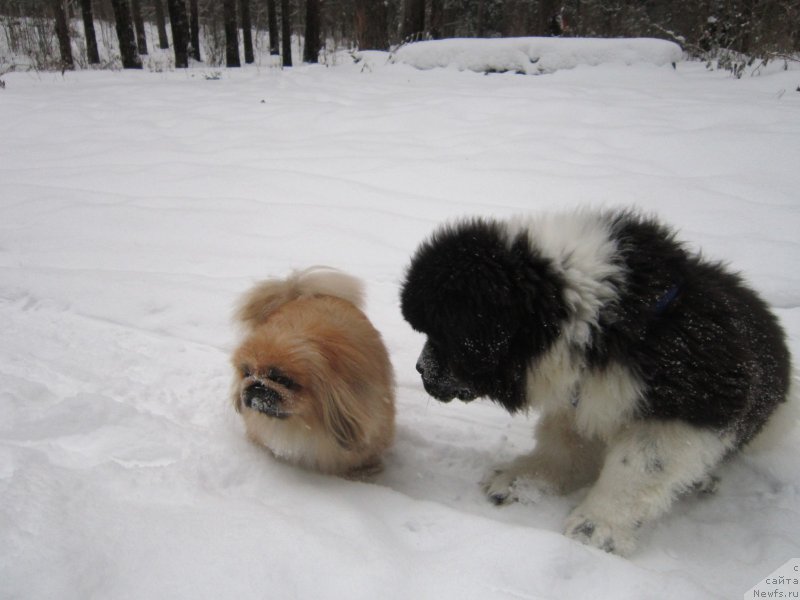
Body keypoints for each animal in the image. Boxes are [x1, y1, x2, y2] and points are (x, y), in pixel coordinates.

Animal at [404, 209, 792, 556]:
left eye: (442, 334)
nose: (420, 369)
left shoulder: (694, 398)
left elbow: (639, 466)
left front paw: (598, 526)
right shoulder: (579, 390)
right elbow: (564, 442)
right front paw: (525, 477)